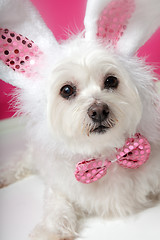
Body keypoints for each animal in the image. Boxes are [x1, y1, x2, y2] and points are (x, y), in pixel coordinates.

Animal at [0, 0, 160, 239]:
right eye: (66, 90)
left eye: (111, 80)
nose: (99, 110)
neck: (104, 156)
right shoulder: (59, 185)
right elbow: (57, 205)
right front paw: (49, 230)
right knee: (21, 160)